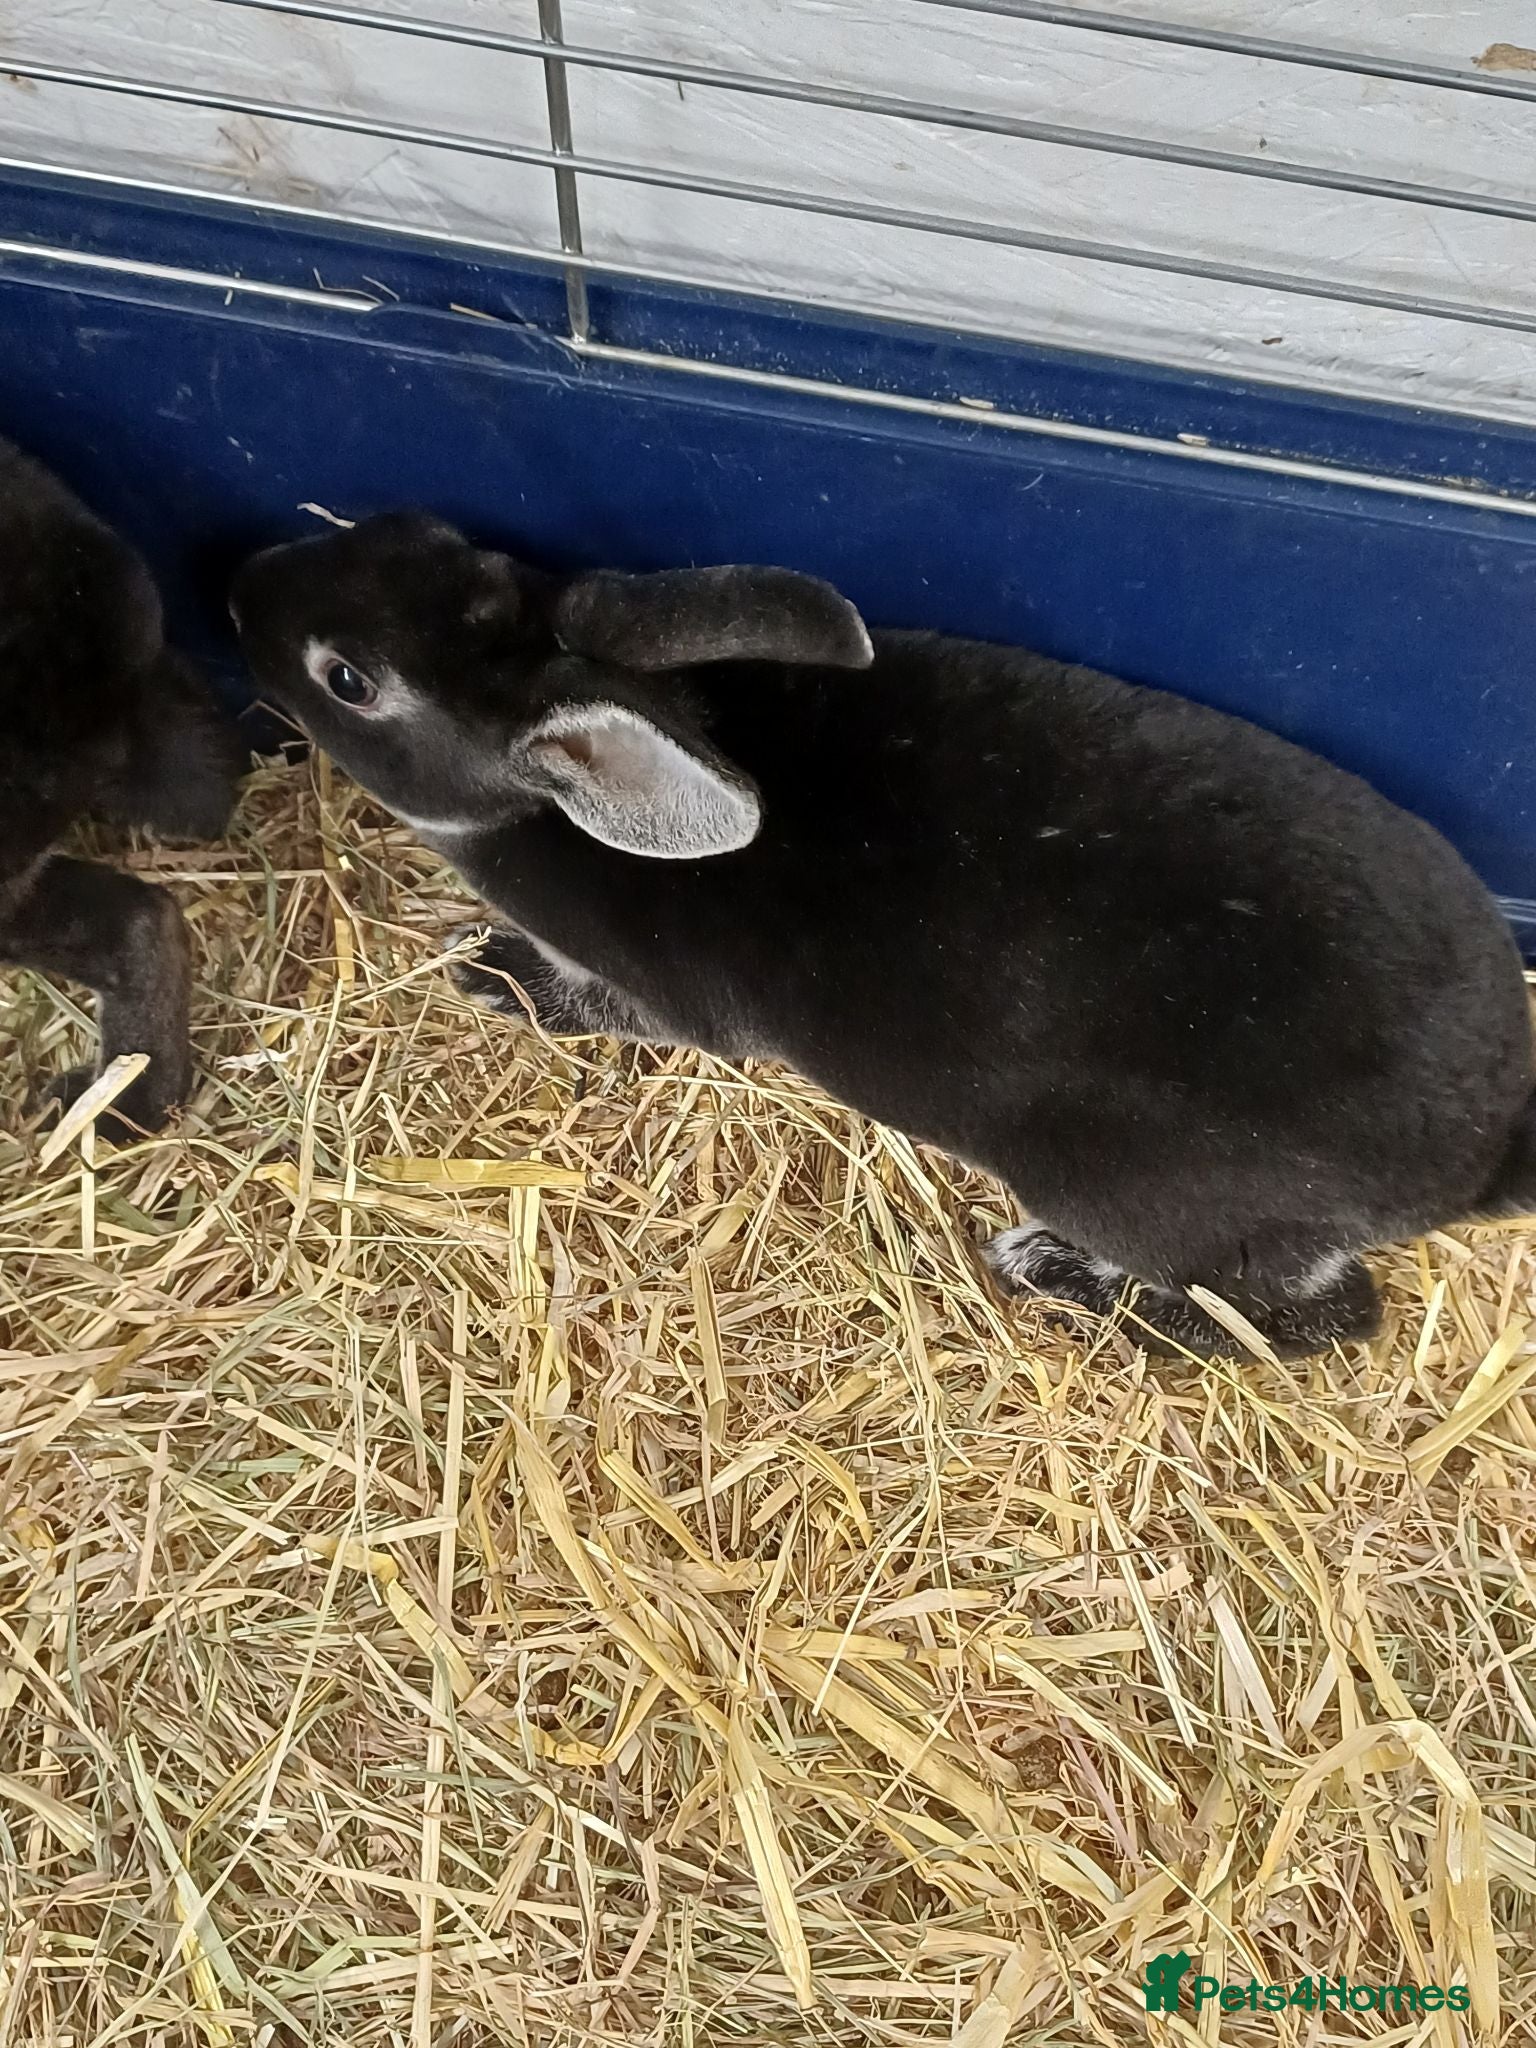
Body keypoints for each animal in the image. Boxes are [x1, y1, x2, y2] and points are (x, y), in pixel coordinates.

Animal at [231, 511, 1536, 1359]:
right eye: (421, 533)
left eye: (346, 678)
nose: (237, 578)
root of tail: (1483, 1151)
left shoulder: (664, 1002)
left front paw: (496, 974)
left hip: (1153, 1207)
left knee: (1319, 1321)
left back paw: (1057, 1275)